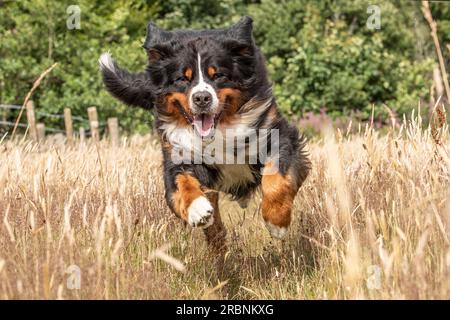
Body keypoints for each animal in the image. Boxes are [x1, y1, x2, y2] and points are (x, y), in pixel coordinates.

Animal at [99, 16, 310, 255]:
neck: (221, 130)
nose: (201, 98)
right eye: (182, 78)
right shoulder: (178, 153)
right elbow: (180, 182)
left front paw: (277, 222)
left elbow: (276, 179)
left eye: (217, 75)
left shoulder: (278, 136)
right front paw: (197, 209)